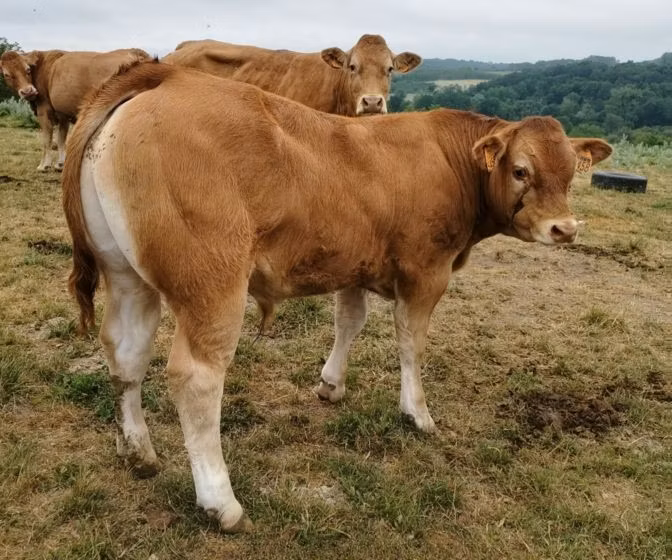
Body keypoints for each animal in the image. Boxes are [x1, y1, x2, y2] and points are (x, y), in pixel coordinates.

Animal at [0, 48, 151, 171]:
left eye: (27, 70)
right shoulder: (63, 114)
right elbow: (61, 138)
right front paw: (60, 164)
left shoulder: (43, 109)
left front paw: (44, 165)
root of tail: (135, 52)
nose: (28, 91)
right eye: (7, 74)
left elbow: (47, 139)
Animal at [62, 61, 611, 532]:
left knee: (126, 354)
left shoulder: (354, 262)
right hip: (212, 283)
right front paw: (417, 413)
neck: (449, 159)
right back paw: (222, 503)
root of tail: (169, 77)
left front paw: (331, 384)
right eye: (520, 170)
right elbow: (411, 341)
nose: (565, 229)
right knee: (196, 379)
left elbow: (350, 321)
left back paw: (138, 453)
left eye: (571, 171)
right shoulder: (426, 271)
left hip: (127, 275)